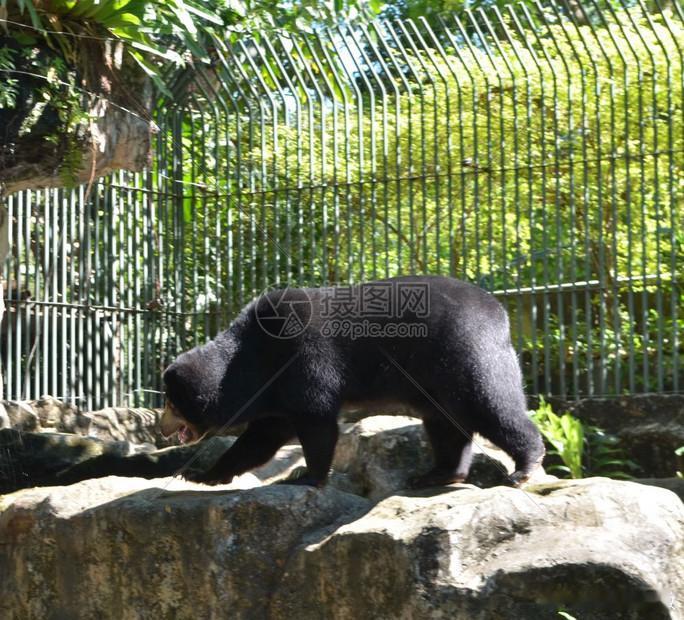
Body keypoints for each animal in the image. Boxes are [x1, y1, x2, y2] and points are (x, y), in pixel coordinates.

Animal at [161, 275, 545, 488]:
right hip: (436, 379)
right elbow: (261, 438)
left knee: (492, 404)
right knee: (445, 425)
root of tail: (501, 313)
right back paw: (438, 474)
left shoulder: (304, 360)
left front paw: (307, 477)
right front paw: (199, 475)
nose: (161, 428)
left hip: (466, 353)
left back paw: (523, 468)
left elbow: (316, 421)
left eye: (171, 403)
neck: (250, 358)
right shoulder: (276, 392)